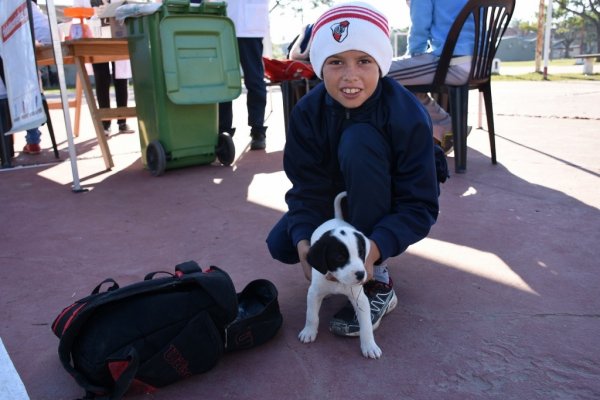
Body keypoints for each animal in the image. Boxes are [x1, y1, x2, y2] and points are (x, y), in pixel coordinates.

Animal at [298, 191, 382, 360]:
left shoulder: (360, 299)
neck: (338, 281)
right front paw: (309, 331)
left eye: (361, 253)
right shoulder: (313, 292)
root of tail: (337, 219)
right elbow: (311, 315)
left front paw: (369, 345)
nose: (361, 274)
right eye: (339, 257)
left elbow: (366, 325)